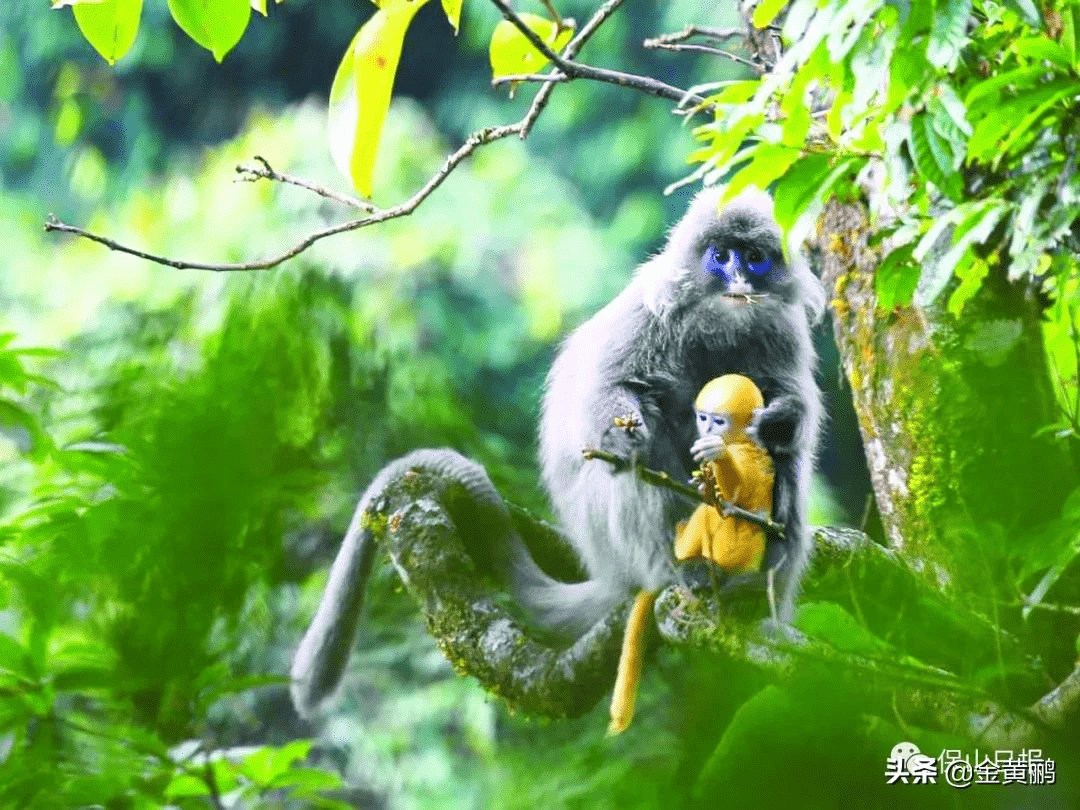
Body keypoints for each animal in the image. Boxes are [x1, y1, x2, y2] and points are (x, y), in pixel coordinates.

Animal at [289, 189, 825, 717]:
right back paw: (681, 570)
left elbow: (792, 414)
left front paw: (777, 420)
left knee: (785, 463)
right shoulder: (649, 313)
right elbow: (613, 390)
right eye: (721, 256)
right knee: (636, 466)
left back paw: (755, 588)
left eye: (754, 258)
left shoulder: (781, 331)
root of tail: (611, 569)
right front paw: (629, 434)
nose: (739, 278)